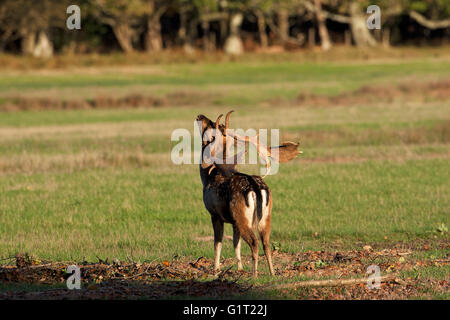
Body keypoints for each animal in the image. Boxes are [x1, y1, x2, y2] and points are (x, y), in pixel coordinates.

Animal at [195, 110, 300, 278]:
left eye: (210, 125)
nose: (199, 116)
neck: (208, 178)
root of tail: (256, 189)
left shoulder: (214, 213)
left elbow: (218, 242)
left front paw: (216, 269)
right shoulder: (233, 221)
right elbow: (235, 243)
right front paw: (239, 268)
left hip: (242, 216)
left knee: (254, 242)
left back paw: (254, 274)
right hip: (265, 216)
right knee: (266, 242)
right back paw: (272, 273)